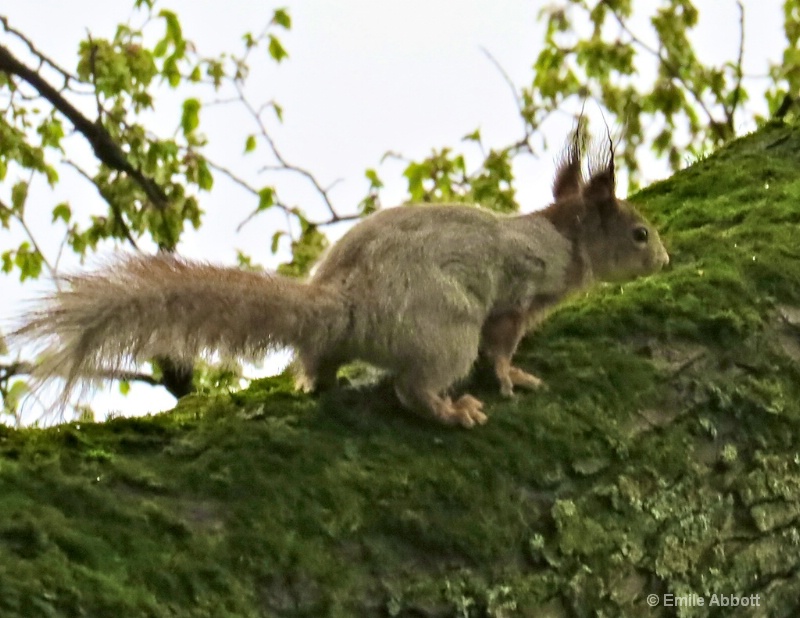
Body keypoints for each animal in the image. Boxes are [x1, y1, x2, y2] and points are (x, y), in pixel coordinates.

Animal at [12, 122, 668, 426]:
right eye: (639, 232)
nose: (663, 260)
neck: (562, 235)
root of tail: (349, 303)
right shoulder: (523, 289)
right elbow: (502, 343)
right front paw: (512, 377)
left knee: (316, 363)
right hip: (447, 332)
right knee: (414, 388)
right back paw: (451, 410)